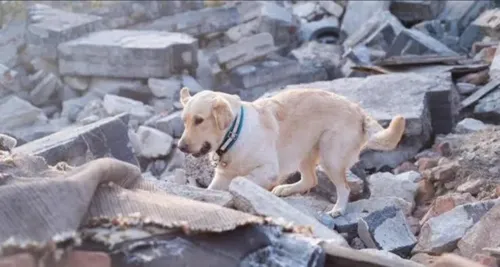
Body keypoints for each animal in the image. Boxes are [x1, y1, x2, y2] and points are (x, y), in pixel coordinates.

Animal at [178, 87, 404, 217]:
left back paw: (338, 209)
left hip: (330, 156)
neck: (235, 132)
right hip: (304, 151)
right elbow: (212, 190)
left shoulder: (268, 170)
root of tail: (359, 111)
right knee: (310, 179)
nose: (180, 147)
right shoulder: (221, 176)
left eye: (199, 120)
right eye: (184, 121)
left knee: (344, 188)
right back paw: (286, 189)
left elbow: (241, 181)